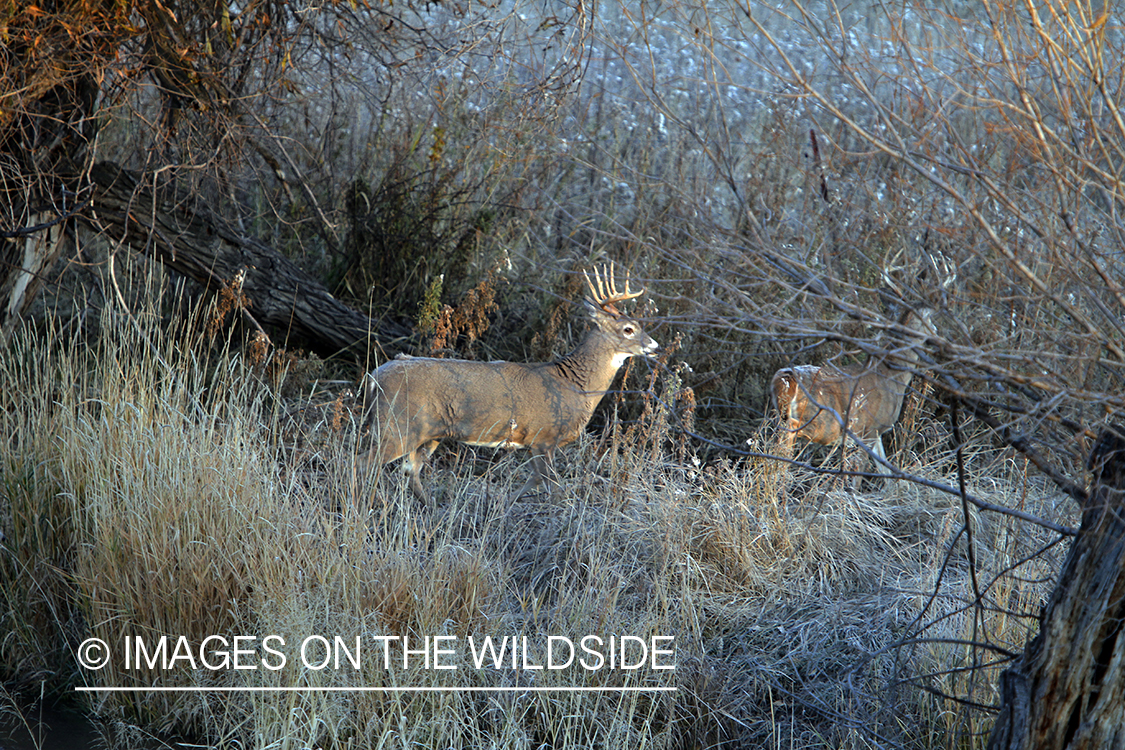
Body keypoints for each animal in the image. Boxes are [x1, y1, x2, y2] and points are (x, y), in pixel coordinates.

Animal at [360, 265, 657, 503]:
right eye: (629, 329)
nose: (654, 346)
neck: (574, 384)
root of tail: (375, 376)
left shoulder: (534, 442)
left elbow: (534, 480)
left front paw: (503, 505)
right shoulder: (543, 436)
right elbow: (552, 485)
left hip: (428, 433)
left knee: (410, 471)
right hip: (399, 425)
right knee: (364, 463)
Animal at [769, 305, 936, 488]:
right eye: (929, 319)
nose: (936, 331)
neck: (893, 377)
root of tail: (786, 378)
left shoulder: (876, 431)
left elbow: (885, 470)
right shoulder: (869, 429)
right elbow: (860, 473)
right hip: (811, 423)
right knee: (785, 445)